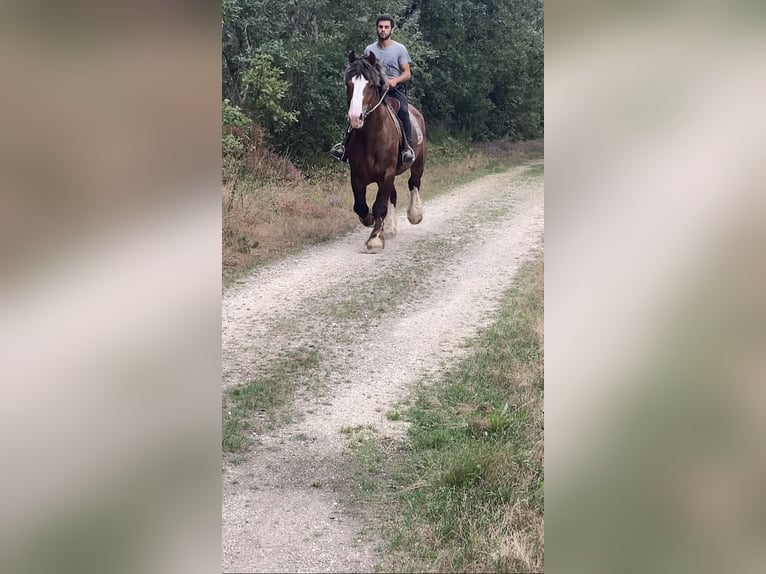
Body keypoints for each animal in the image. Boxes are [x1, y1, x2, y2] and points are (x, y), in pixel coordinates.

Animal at [346, 51, 428, 252]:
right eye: (348, 84)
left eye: (370, 85)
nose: (355, 117)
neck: (370, 136)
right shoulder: (356, 175)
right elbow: (360, 206)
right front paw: (369, 220)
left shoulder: (386, 173)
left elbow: (379, 206)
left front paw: (375, 238)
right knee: (393, 195)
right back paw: (390, 228)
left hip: (418, 163)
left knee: (414, 183)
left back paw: (414, 215)